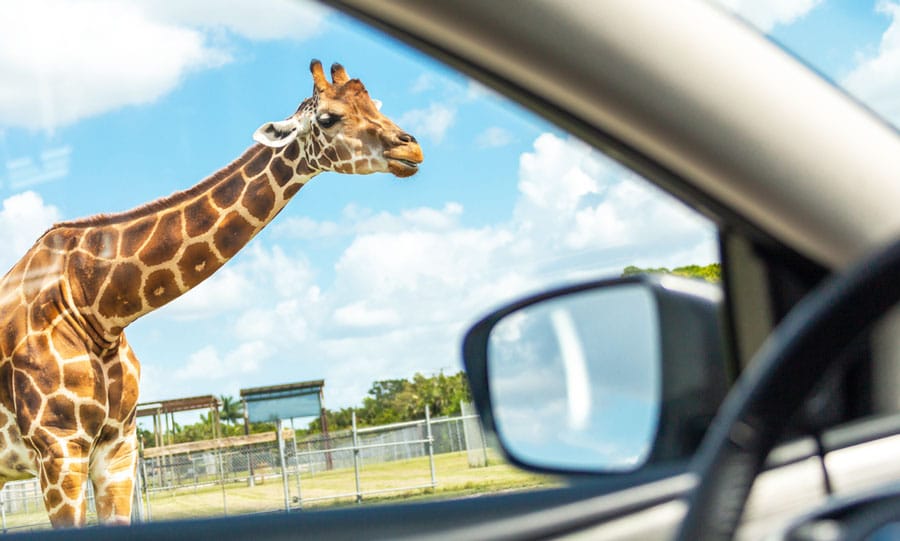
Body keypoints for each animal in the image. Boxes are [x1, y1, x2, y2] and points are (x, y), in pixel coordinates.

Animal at [0, 60, 423, 528]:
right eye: (328, 118)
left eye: (375, 103)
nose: (412, 149)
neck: (97, 307)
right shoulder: (59, 450)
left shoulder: (118, 447)